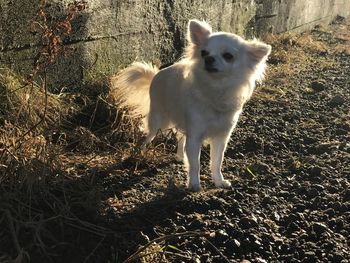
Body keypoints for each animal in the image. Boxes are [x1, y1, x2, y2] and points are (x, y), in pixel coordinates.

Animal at [111, 19, 270, 192]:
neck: (215, 89)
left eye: (228, 56)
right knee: (148, 135)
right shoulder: (195, 135)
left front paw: (219, 181)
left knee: (181, 138)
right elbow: (195, 164)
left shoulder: (221, 137)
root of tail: (156, 75)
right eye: (204, 53)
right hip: (159, 121)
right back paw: (139, 153)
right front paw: (194, 184)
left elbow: (216, 162)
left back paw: (180, 156)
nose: (209, 59)